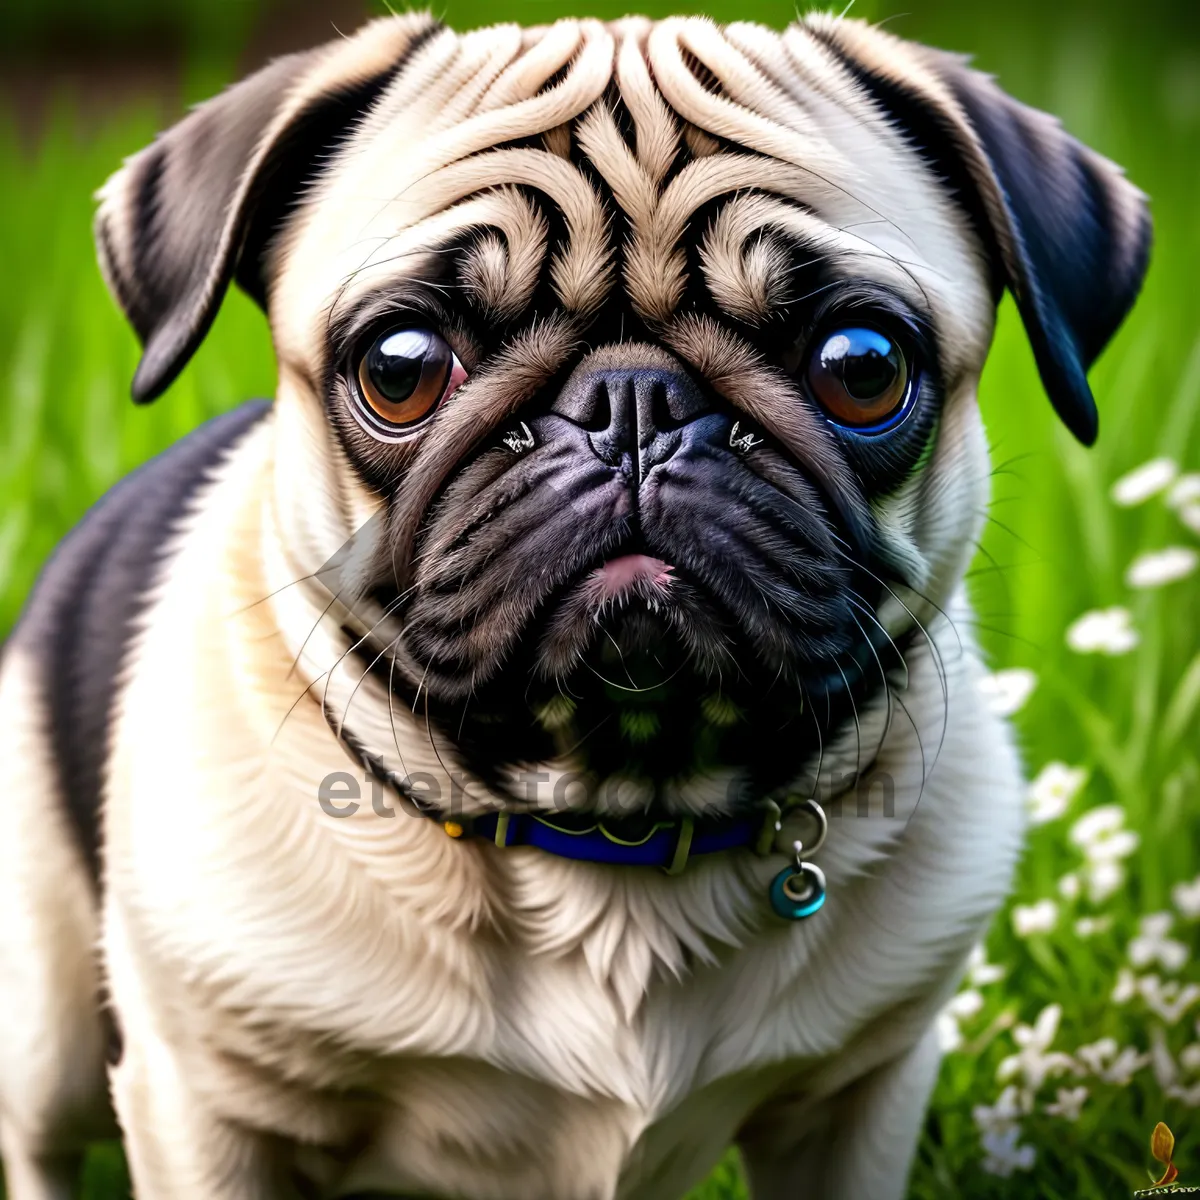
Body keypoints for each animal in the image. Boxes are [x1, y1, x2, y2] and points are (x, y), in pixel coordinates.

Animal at [0, 11, 1147, 1200]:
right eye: (401, 368)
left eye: (861, 366)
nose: (632, 402)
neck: (619, 825)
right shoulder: (208, 1115)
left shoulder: (855, 1105)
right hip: (48, 1029)